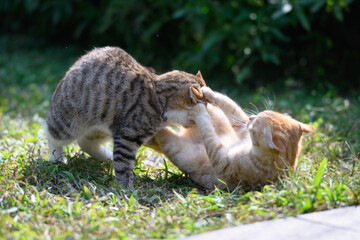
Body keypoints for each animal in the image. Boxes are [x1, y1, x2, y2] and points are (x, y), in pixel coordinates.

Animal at [45, 47, 205, 188]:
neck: (157, 98)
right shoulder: (127, 137)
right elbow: (124, 165)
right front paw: (126, 188)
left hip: (103, 127)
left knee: (85, 142)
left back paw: (107, 156)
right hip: (68, 122)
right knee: (52, 134)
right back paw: (57, 158)